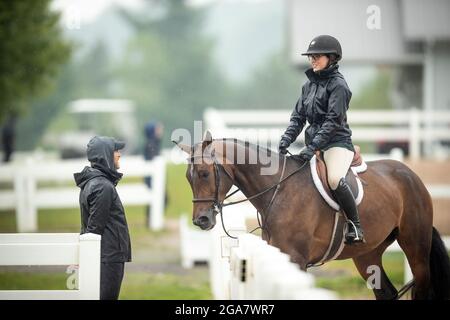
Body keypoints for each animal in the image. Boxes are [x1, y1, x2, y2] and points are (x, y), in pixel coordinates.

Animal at [175, 132, 450, 300]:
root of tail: (410, 174)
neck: (279, 189)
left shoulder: (297, 259)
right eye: (188, 177)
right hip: (367, 255)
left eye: (204, 174)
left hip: (416, 249)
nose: (201, 220)